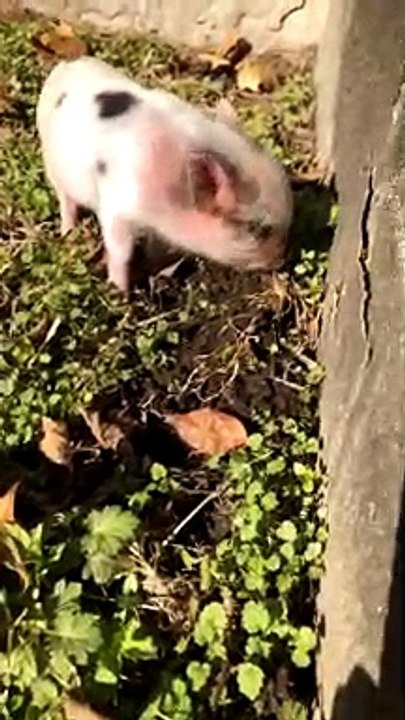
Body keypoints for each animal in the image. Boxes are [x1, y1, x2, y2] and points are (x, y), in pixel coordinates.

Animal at [36, 56, 293, 292]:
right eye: (257, 229)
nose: (281, 262)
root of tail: (67, 65)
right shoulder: (118, 207)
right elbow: (121, 251)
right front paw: (121, 292)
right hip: (52, 163)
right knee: (66, 201)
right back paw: (68, 234)